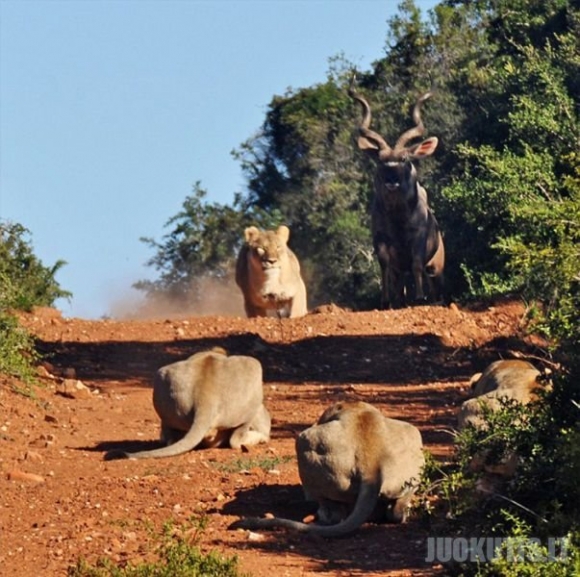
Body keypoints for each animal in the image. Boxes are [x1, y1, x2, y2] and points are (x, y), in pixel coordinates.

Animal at [229, 400, 424, 536]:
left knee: (331, 514)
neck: (355, 408)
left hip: (304, 443)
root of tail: (371, 466)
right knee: (396, 512)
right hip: (414, 441)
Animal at [348, 82, 444, 308]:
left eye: (404, 158)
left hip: (436, 265)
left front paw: (419, 298)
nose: (391, 180)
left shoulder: (418, 239)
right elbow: (384, 266)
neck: (398, 218)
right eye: (380, 160)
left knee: (432, 280)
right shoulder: (381, 241)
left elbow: (417, 263)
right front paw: (385, 301)